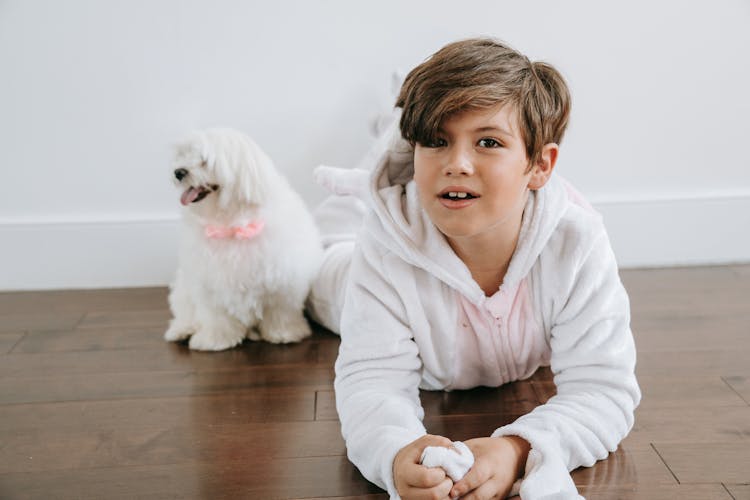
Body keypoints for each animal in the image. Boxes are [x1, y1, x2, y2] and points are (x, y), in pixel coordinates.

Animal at [164, 127, 324, 350]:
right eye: (182, 155)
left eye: (205, 161)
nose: (178, 172)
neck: (231, 224)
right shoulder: (210, 284)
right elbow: (216, 317)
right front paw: (215, 340)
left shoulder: (283, 281)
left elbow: (280, 311)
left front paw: (284, 333)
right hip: (184, 292)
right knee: (185, 313)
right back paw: (182, 330)